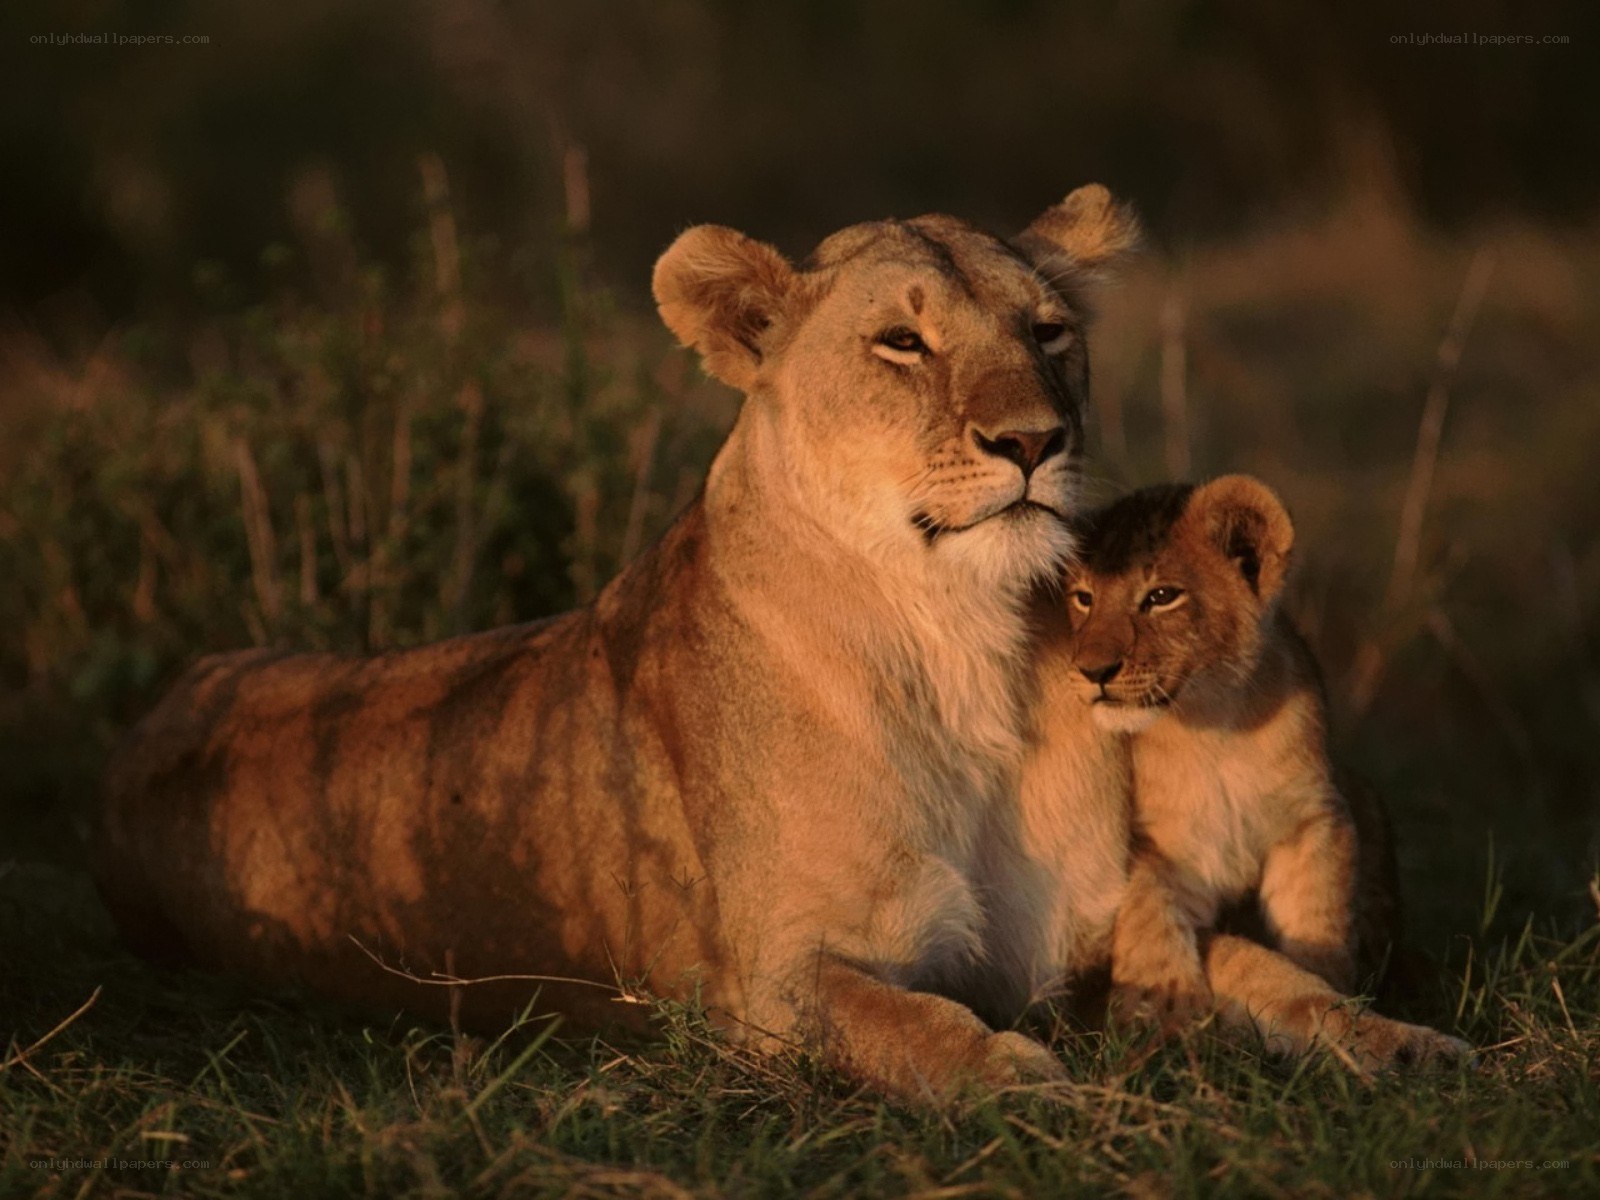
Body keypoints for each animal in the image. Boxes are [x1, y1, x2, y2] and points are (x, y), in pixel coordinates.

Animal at [94, 189, 1461, 1101]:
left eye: (1047, 333)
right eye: (903, 342)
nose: (1035, 440)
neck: (965, 647)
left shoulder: (1087, 929)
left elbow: (1266, 972)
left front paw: (1407, 1045)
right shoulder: (770, 986)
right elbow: (929, 1035)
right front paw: (1045, 1092)